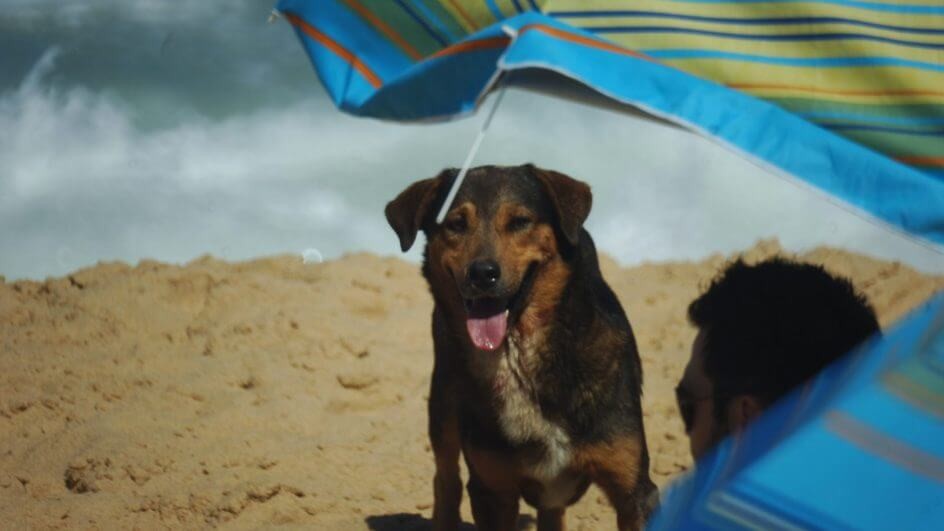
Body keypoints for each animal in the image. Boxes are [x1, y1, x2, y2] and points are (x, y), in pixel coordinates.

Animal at [384, 164, 656, 528]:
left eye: (520, 222)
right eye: (455, 224)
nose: (482, 273)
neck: (519, 355)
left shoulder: (633, 488)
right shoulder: (492, 489)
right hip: (443, 402)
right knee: (446, 479)